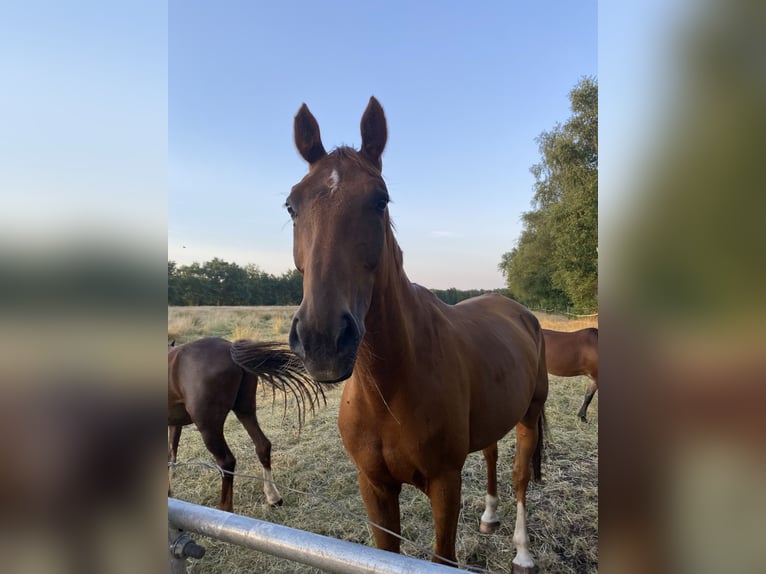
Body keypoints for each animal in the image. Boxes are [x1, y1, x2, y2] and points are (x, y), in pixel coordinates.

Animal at [168, 338, 324, 512]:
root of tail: (230, 349)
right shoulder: (175, 424)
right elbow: (171, 454)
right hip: (245, 410)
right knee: (262, 445)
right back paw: (273, 497)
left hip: (209, 428)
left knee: (227, 462)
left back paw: (225, 509)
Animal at [284, 98, 548, 572]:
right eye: (291, 206)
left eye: (380, 200)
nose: (323, 340)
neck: (388, 390)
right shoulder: (374, 488)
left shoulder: (445, 485)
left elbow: (444, 555)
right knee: (492, 454)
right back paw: (489, 517)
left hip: (529, 415)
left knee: (520, 476)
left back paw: (522, 551)